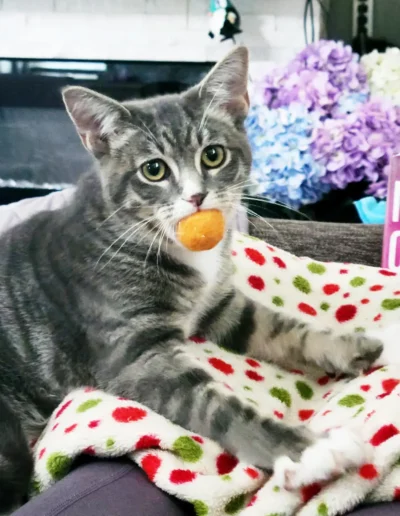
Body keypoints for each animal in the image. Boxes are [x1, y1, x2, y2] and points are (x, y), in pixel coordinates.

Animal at [0, 47, 384, 512]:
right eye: (153, 169)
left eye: (213, 155)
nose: (197, 196)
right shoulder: (136, 354)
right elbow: (217, 406)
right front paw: (313, 452)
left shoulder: (220, 305)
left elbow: (282, 326)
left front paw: (363, 342)